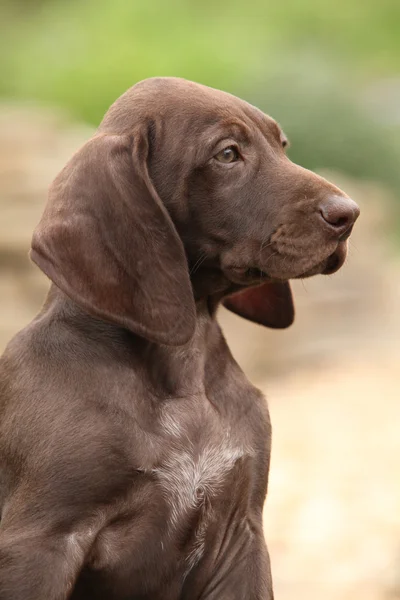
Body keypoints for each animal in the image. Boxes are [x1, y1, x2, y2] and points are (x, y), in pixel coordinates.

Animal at [0, 77, 360, 596]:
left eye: (283, 145)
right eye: (228, 154)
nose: (349, 214)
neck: (184, 367)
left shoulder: (241, 536)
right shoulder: (42, 542)